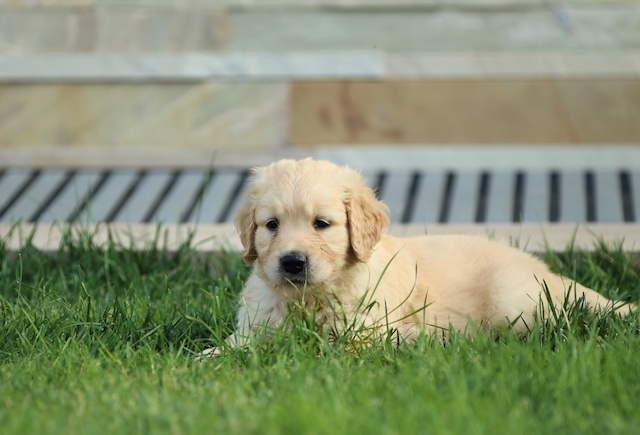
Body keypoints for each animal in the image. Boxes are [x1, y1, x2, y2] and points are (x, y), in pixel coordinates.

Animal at [205, 158, 632, 354]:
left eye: (321, 224)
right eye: (271, 225)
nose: (292, 262)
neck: (308, 297)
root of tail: (548, 273)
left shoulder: (364, 336)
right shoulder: (254, 328)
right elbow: (231, 348)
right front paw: (204, 360)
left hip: (514, 306)